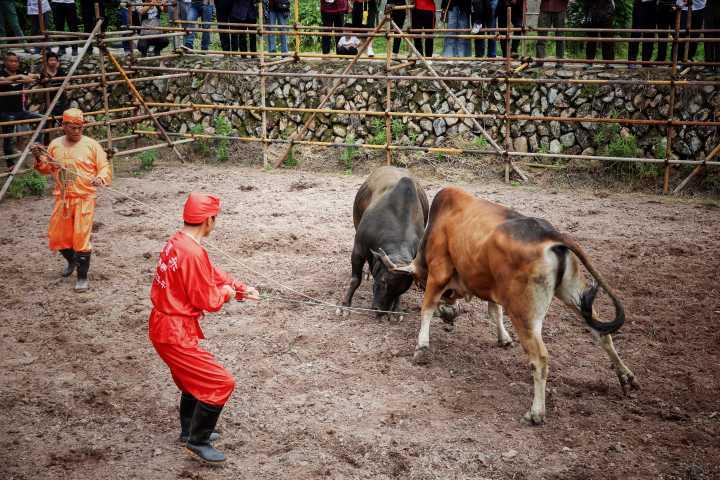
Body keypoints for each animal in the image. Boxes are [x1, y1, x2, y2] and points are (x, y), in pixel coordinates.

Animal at [336, 167, 428, 316]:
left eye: (402, 290)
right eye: (384, 281)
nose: (380, 310)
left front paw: (396, 311)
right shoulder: (358, 249)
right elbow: (355, 280)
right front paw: (345, 305)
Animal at [386, 188, 640, 424]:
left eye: (419, 282)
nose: (449, 314)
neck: (439, 223)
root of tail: (552, 236)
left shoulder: (439, 272)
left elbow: (427, 308)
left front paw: (421, 347)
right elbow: (494, 312)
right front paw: (503, 338)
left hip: (524, 315)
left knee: (540, 359)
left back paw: (536, 413)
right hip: (573, 293)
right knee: (602, 333)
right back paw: (626, 377)